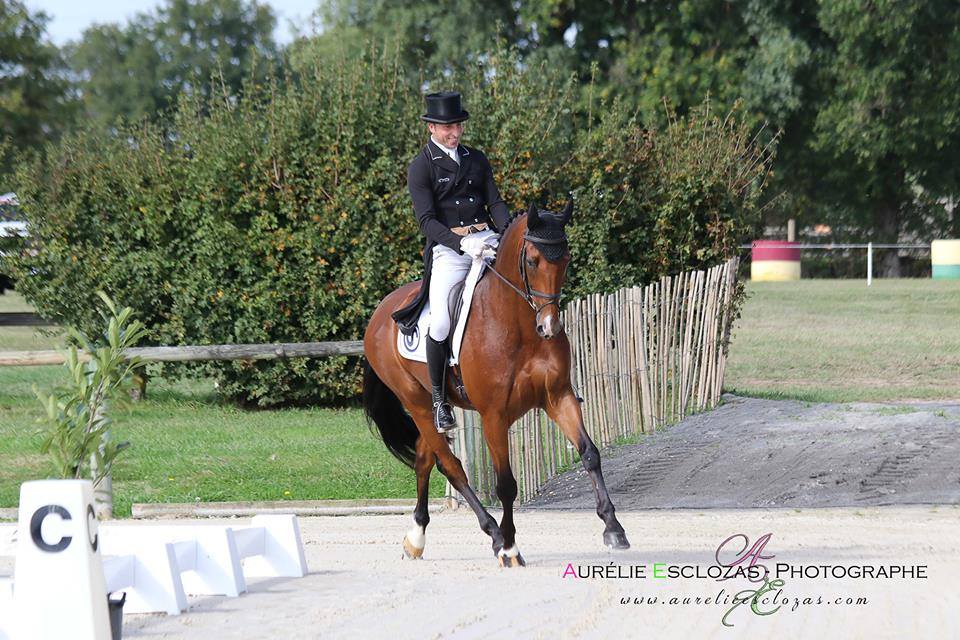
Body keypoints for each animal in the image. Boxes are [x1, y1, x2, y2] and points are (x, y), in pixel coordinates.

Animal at [362, 202, 632, 568]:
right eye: (532, 260)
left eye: (566, 258)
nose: (549, 326)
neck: (519, 325)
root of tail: (381, 311)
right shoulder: (493, 416)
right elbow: (506, 483)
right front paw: (510, 548)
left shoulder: (558, 397)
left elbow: (589, 454)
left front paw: (614, 529)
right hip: (416, 402)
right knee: (451, 466)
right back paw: (493, 534)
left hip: (428, 408)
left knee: (424, 459)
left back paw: (415, 539)